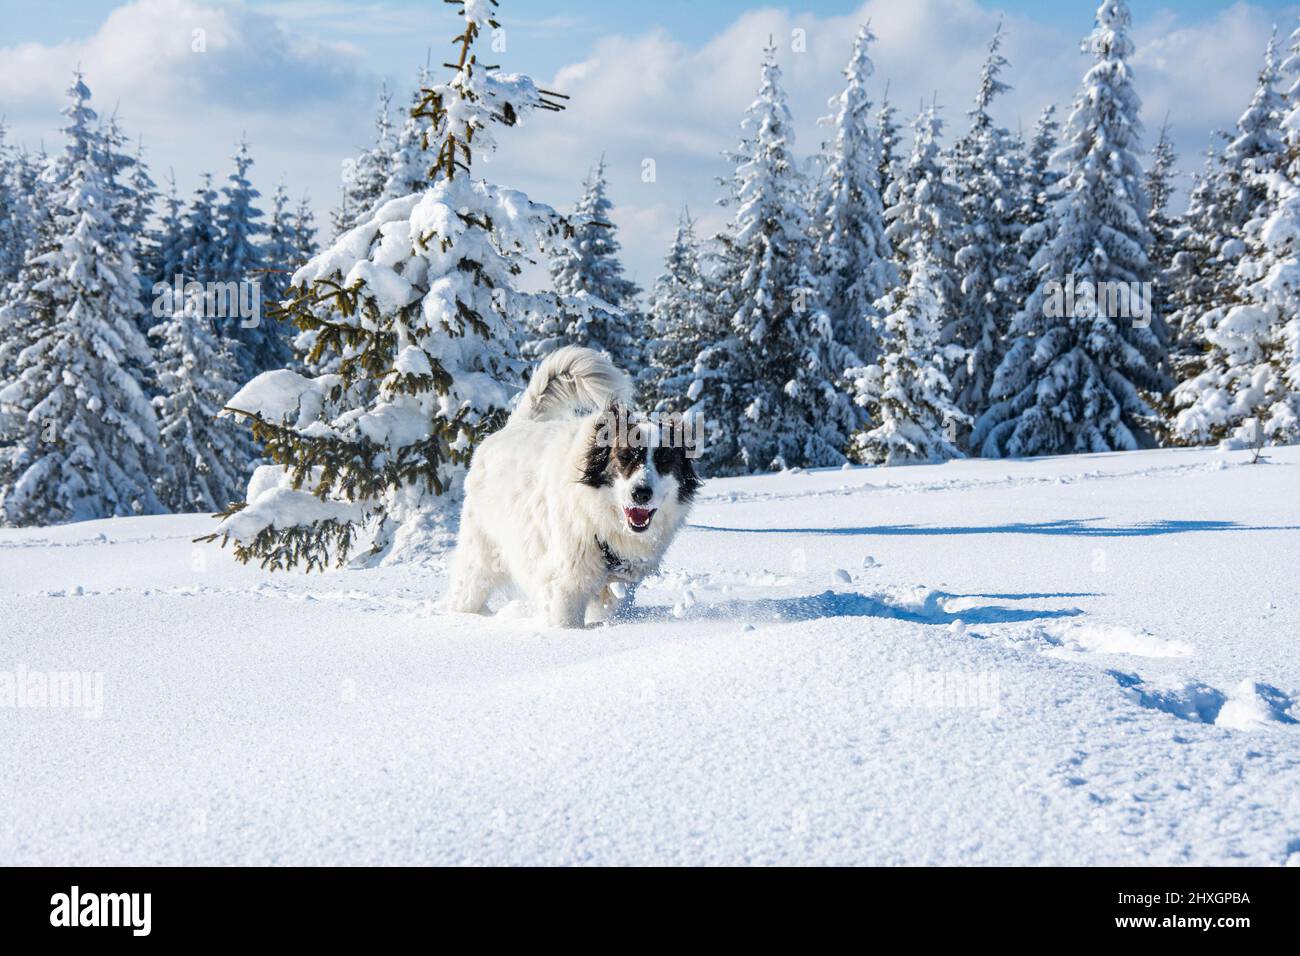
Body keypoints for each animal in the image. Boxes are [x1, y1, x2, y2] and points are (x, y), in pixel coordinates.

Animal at [447, 345, 702, 629]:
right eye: (625, 457)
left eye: (664, 460)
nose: (641, 493)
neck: (601, 519)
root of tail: (513, 426)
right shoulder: (566, 585)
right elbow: (567, 623)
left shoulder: (615, 590)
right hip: (480, 556)